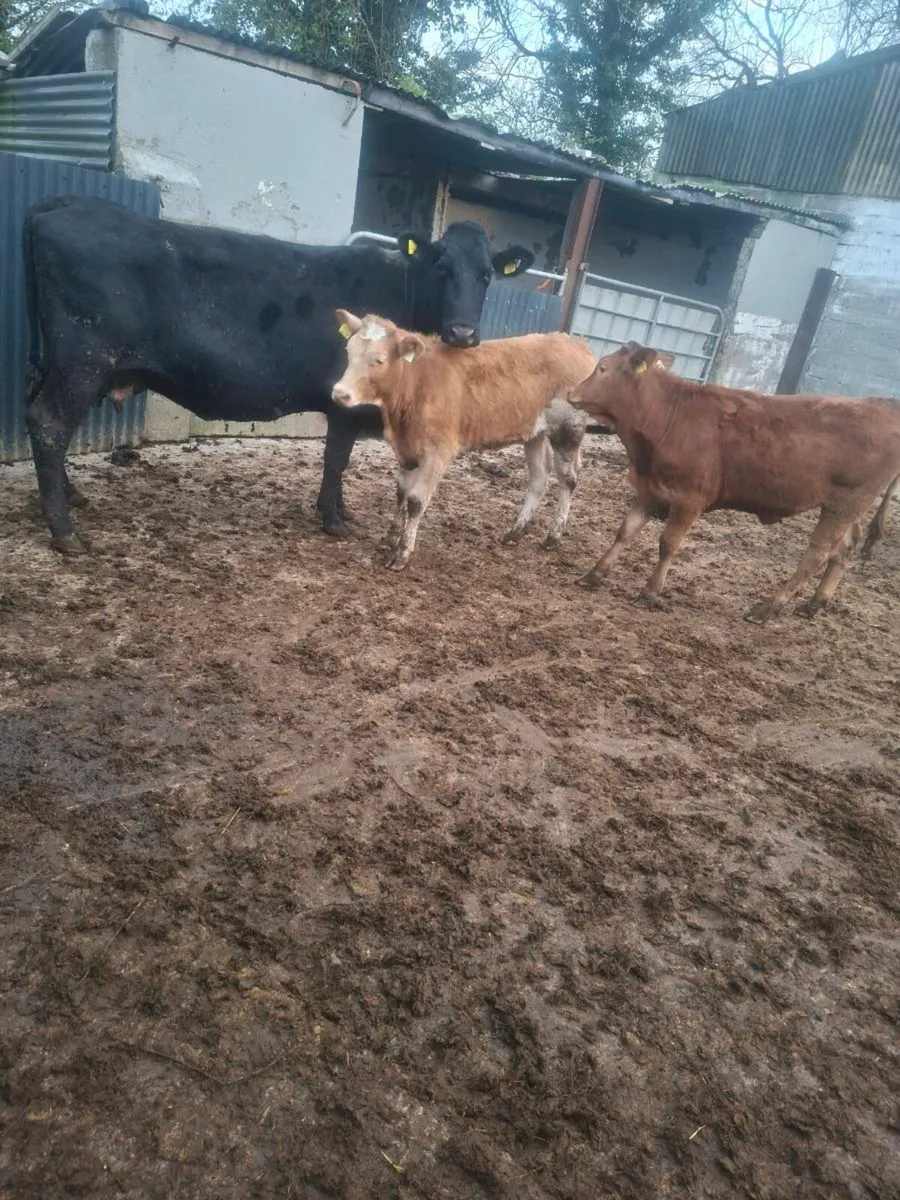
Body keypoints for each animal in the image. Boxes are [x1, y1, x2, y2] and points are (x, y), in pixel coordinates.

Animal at [22, 196, 534, 554]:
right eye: (440, 267)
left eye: (487, 275)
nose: (463, 332)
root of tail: (63, 204)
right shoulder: (344, 404)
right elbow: (336, 459)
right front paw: (332, 519)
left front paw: (341, 512)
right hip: (83, 361)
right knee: (49, 425)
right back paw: (64, 531)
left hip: (64, 364)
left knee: (41, 418)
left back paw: (70, 497)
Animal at [330, 310, 595, 568]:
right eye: (349, 351)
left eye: (379, 360)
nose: (339, 393)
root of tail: (575, 343)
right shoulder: (405, 451)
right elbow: (401, 492)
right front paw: (390, 537)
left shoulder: (438, 453)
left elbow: (416, 500)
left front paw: (402, 553)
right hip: (535, 434)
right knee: (539, 478)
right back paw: (515, 532)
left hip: (567, 429)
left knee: (568, 479)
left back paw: (553, 536)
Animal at [567, 342, 900, 621]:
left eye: (602, 368)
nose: (571, 393)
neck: (669, 415)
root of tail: (884, 405)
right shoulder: (650, 490)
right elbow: (625, 531)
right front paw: (594, 574)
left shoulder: (689, 500)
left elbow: (668, 544)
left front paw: (650, 592)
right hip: (844, 506)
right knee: (843, 548)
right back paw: (813, 604)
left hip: (847, 502)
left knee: (818, 553)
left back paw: (768, 607)